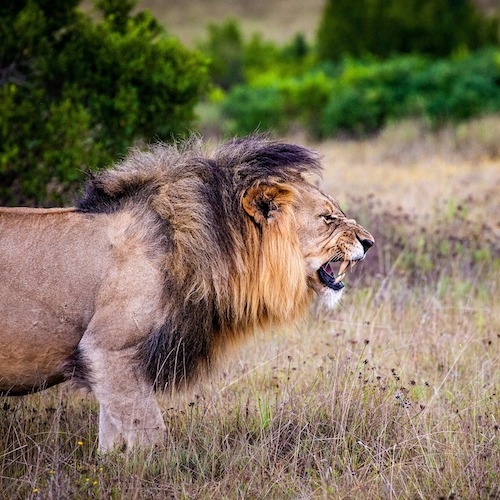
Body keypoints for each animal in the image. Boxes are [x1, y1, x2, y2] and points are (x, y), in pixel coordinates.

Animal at [0, 137, 374, 454]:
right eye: (328, 218)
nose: (369, 242)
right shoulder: (107, 349)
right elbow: (150, 435)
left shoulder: (111, 364)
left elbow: (112, 439)